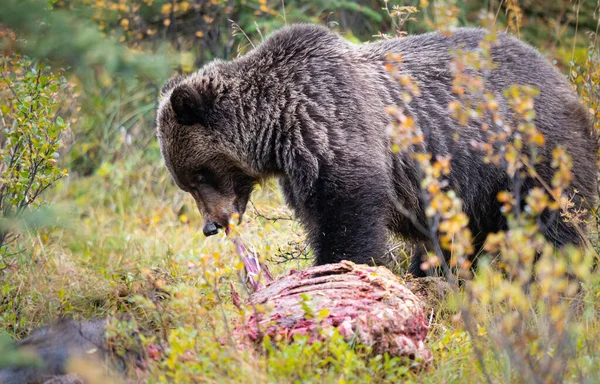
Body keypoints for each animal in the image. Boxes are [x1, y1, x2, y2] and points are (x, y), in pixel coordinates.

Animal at [157, 23, 596, 276]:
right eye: (186, 183)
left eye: (199, 174)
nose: (213, 225)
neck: (278, 126)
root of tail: (561, 76)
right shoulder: (301, 165)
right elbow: (316, 216)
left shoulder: (335, 125)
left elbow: (348, 215)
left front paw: (337, 267)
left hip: (531, 153)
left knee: (554, 224)